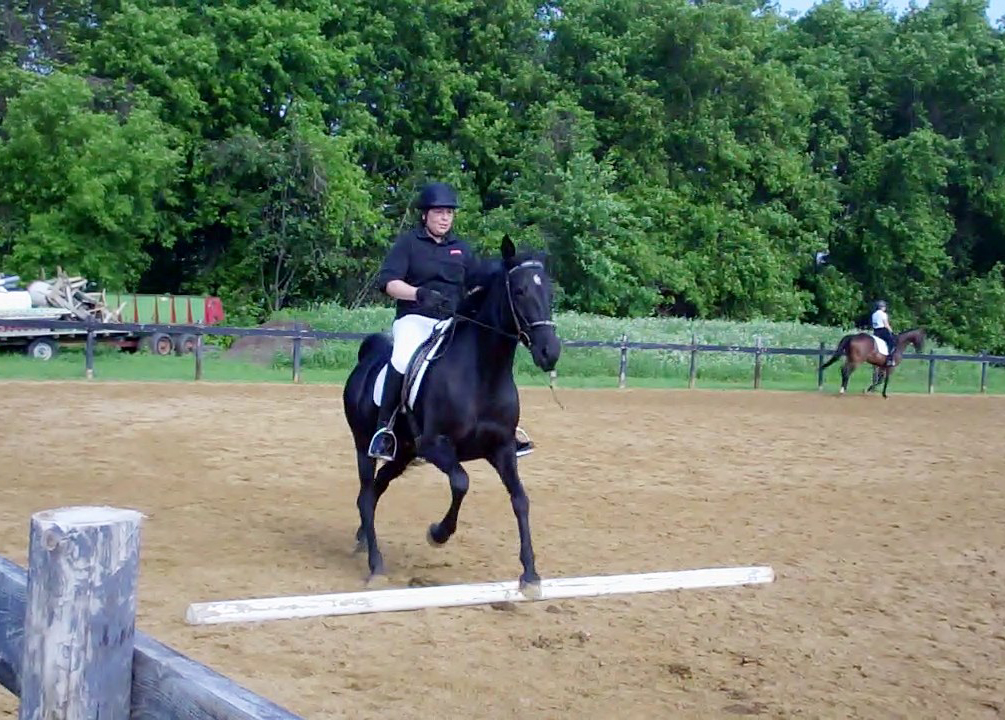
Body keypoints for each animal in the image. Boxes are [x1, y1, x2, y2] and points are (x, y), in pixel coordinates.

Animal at [341, 236, 561, 596]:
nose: (549, 352)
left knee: (375, 491)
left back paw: (362, 538)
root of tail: (368, 357)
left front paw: (530, 574)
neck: (483, 373)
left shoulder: (502, 449)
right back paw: (376, 566)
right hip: (365, 447)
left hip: (403, 454)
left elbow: (520, 500)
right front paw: (437, 533)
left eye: (550, 292)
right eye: (519, 291)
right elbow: (461, 482)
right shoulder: (435, 446)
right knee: (365, 494)